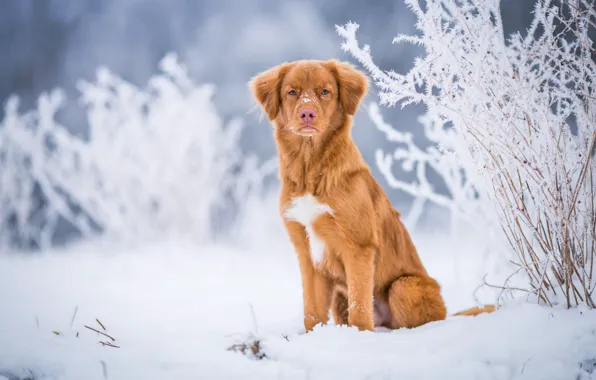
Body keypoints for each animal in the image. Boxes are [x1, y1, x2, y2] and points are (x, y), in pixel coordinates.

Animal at [249, 59, 492, 332]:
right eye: (292, 92)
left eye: (325, 91)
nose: (307, 113)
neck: (310, 170)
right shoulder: (306, 251)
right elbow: (312, 311)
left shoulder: (359, 246)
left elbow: (360, 306)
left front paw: (361, 335)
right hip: (340, 297)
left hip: (403, 287)